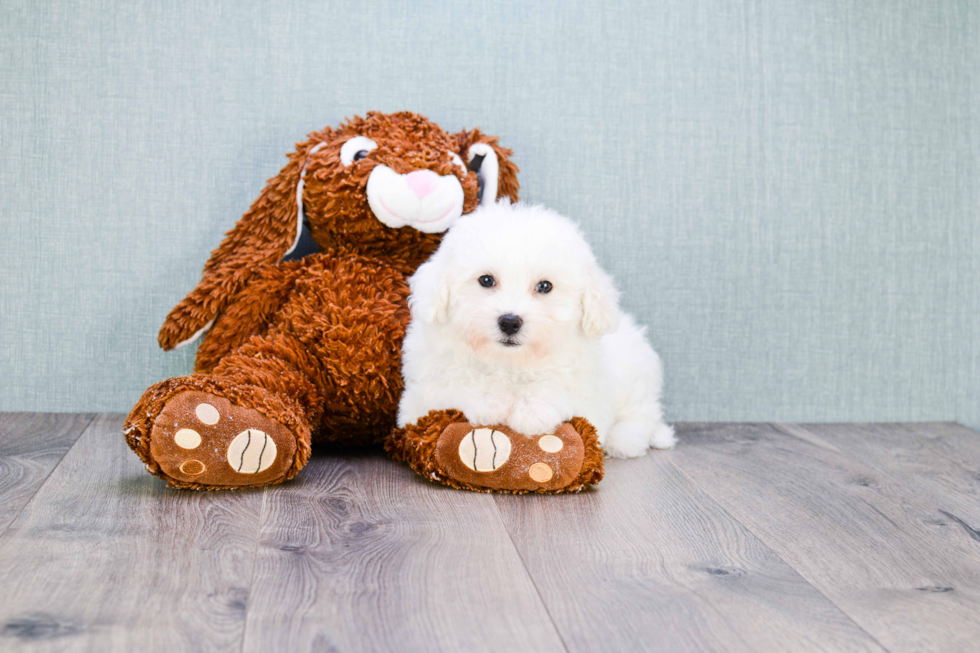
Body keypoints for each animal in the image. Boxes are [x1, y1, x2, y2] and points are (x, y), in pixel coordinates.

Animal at [394, 201, 676, 456]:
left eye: (545, 286)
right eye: (486, 280)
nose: (510, 321)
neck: (508, 362)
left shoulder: (588, 391)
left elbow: (560, 389)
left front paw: (531, 412)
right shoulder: (420, 396)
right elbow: (454, 384)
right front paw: (490, 401)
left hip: (636, 379)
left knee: (642, 416)